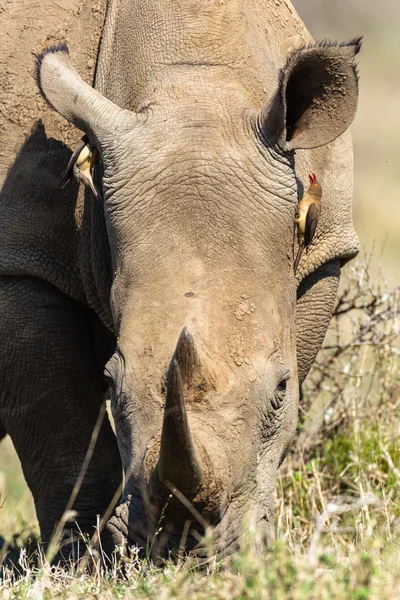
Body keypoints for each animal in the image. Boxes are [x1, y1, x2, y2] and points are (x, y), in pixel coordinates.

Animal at [0, 0, 360, 556]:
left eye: (281, 390)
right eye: (112, 383)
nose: (186, 556)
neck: (197, 84)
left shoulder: (325, 252)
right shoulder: (20, 260)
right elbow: (61, 432)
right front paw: (83, 560)